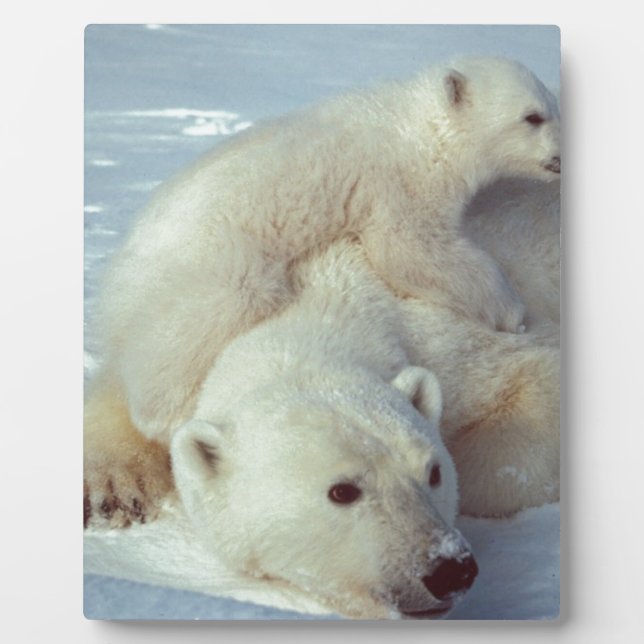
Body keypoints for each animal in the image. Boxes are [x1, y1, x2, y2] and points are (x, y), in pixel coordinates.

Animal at [93, 56, 560, 437]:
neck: (417, 127)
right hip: (208, 261)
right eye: (531, 117)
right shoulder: (398, 181)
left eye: (553, 109)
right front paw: (512, 312)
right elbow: (411, 249)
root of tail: (115, 282)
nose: (560, 157)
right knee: (214, 312)